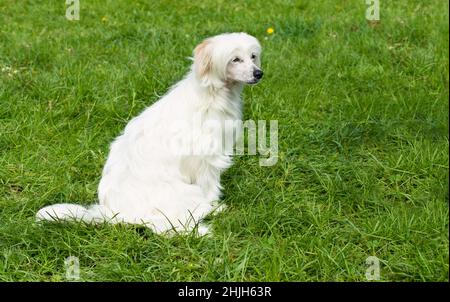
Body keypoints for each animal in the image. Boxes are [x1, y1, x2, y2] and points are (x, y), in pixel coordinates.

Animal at [36, 33, 264, 236]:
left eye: (252, 56)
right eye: (235, 59)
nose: (259, 73)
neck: (213, 94)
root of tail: (115, 214)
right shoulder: (206, 160)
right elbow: (210, 186)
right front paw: (215, 205)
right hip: (185, 194)